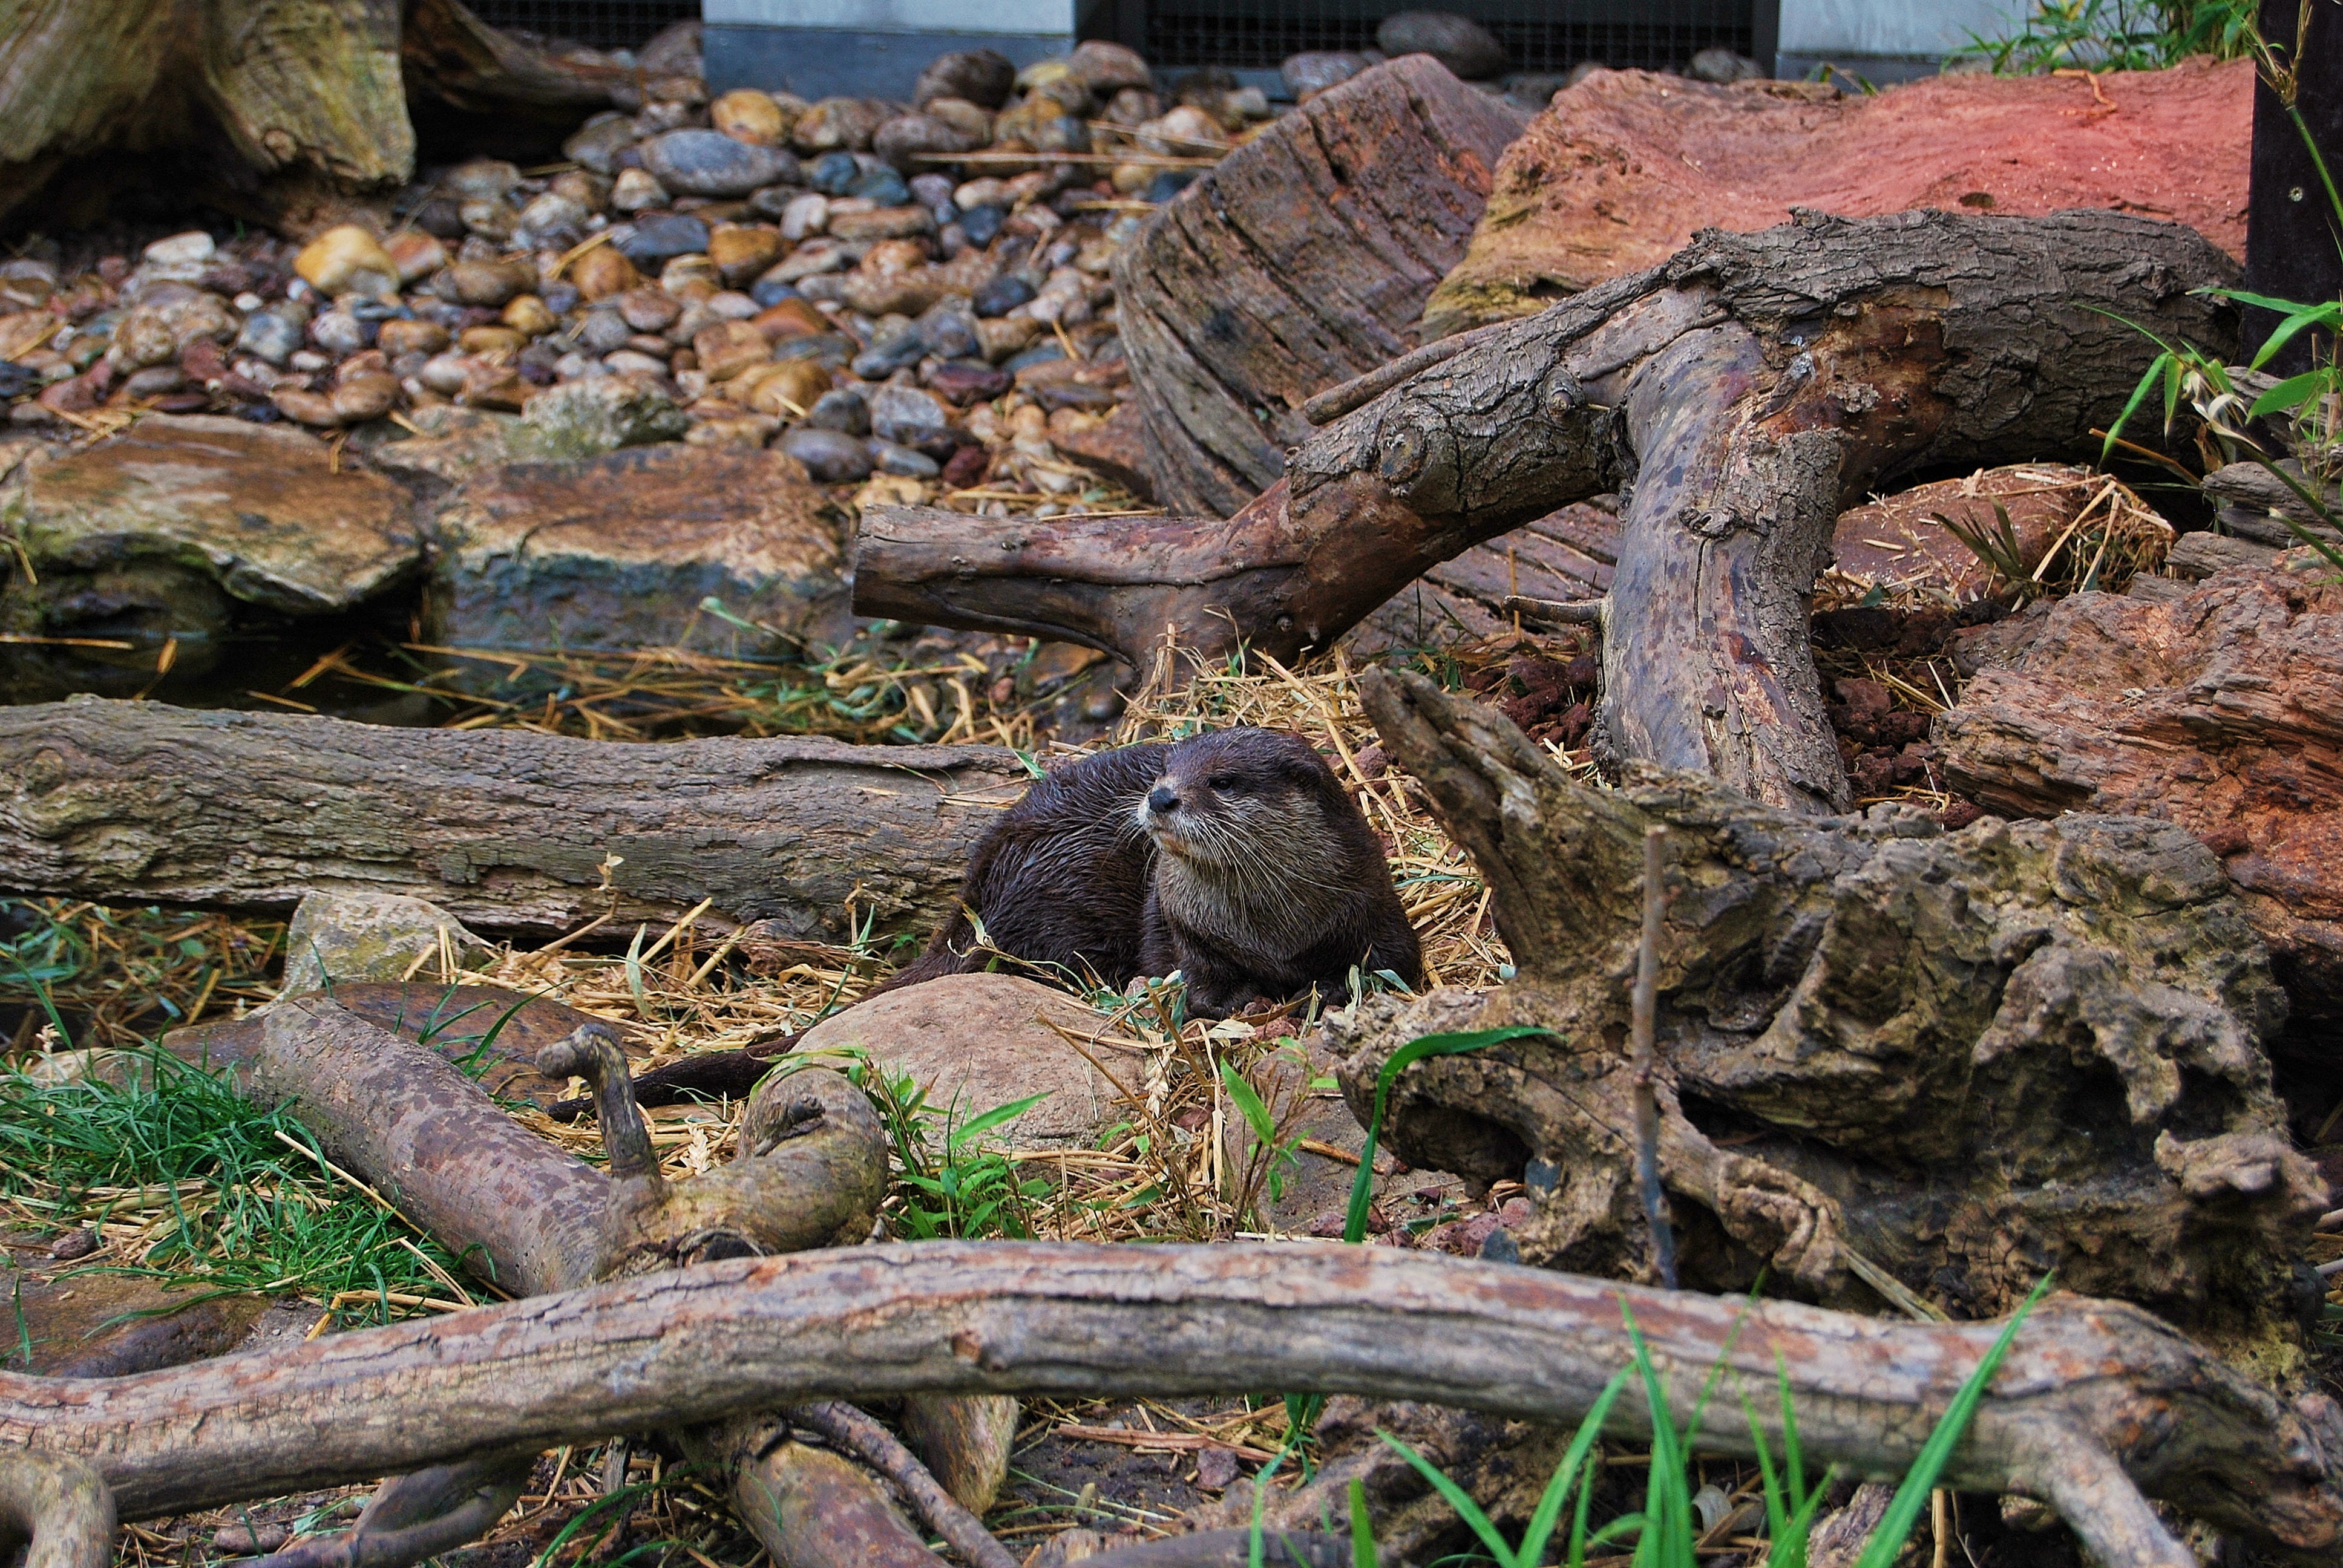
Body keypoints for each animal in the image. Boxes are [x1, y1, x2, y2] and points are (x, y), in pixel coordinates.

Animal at [896, 726, 1423, 1016]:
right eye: (1163, 771)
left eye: (1222, 781)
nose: (1160, 796)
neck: (1271, 934)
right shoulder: (1181, 922)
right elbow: (1190, 981)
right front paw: (1239, 1000)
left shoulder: (1369, 895)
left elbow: (1396, 962)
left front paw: (1333, 984)